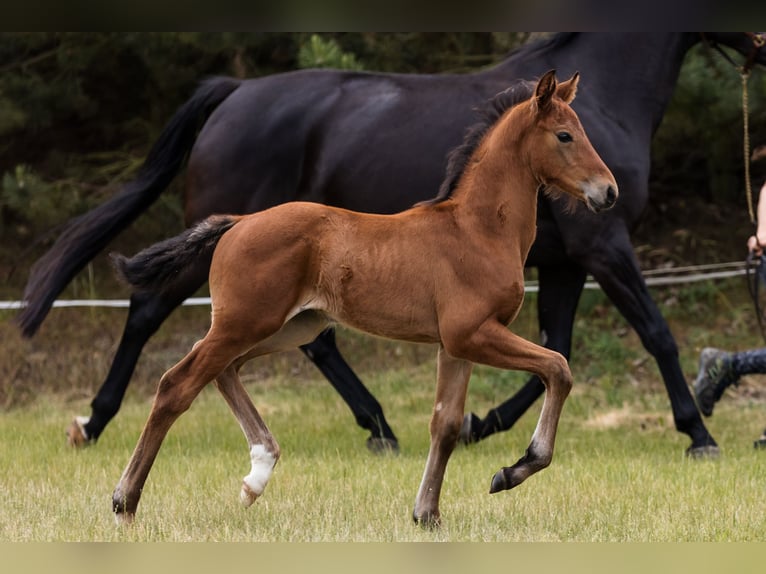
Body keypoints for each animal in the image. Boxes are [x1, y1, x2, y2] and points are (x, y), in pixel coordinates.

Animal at [17, 33, 766, 457]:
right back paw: (97, 427)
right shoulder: (558, 276)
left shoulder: (549, 276)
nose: (606, 192)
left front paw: (482, 433)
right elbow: (614, 343)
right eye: (564, 134)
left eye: (584, 129)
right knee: (158, 334)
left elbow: (542, 360)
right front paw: (698, 433)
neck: (474, 225)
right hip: (240, 309)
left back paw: (373, 427)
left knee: (289, 352)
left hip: (284, 320)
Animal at [109, 71, 618, 526]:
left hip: (289, 327)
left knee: (222, 370)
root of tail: (238, 222)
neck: (476, 229)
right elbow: (558, 367)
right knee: (177, 383)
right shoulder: (473, 333)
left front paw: (427, 514)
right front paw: (511, 472)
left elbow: (446, 424)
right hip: (246, 323)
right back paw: (124, 503)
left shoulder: (455, 346)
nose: (609, 191)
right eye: (565, 135)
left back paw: (257, 475)